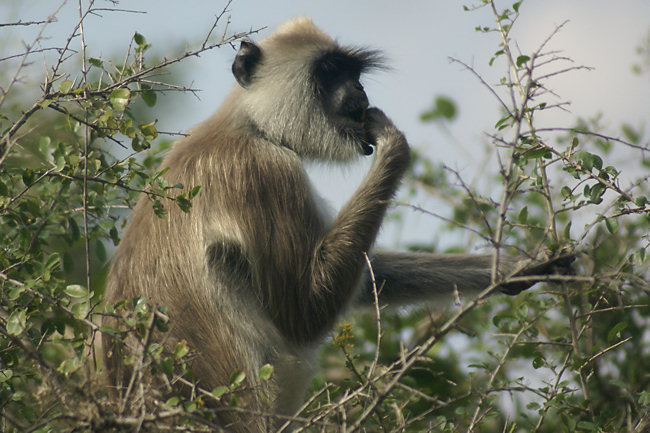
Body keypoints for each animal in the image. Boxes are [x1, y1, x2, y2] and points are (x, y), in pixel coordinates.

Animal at [100, 17, 568, 432]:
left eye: (354, 73)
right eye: (328, 71)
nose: (358, 89)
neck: (247, 126)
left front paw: (514, 267)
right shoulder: (263, 171)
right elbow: (304, 312)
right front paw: (394, 149)